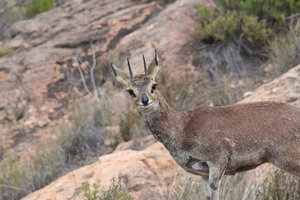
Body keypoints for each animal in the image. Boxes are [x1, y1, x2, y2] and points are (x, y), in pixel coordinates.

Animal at [111, 50, 300, 199]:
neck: (182, 128)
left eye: (153, 85)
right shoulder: (202, 172)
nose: (145, 100)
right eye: (130, 91)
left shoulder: (217, 161)